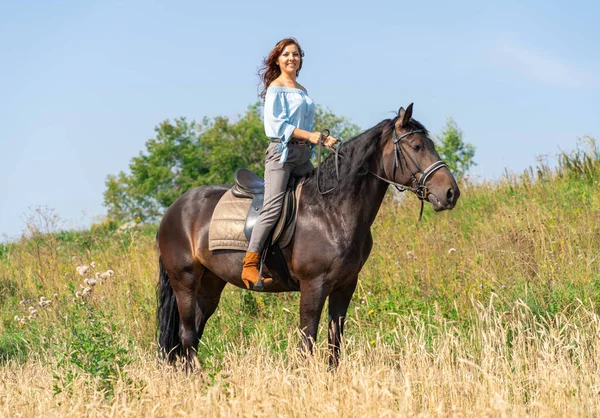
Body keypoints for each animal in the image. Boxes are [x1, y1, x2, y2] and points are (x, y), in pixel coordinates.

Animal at [156, 103, 460, 368]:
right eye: (417, 146)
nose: (450, 193)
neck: (331, 211)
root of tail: (174, 209)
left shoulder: (345, 285)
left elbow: (334, 342)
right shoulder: (313, 286)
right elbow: (307, 343)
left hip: (211, 283)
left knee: (194, 332)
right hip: (185, 280)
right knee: (186, 335)